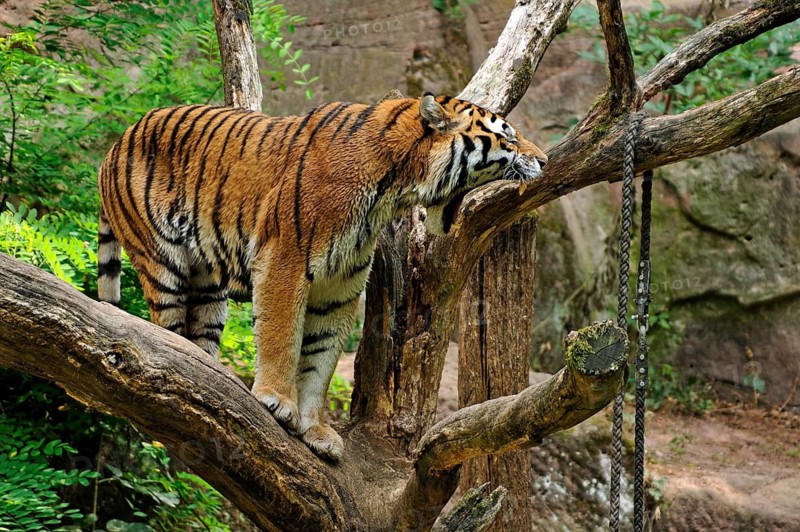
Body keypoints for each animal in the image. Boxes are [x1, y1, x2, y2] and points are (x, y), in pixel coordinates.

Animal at [96, 92, 548, 460]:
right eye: (507, 137)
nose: (544, 161)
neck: (395, 187)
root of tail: (116, 143)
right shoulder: (284, 260)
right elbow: (282, 335)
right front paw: (277, 401)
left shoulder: (339, 287)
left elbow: (320, 360)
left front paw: (316, 430)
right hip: (163, 262)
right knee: (168, 336)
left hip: (208, 283)